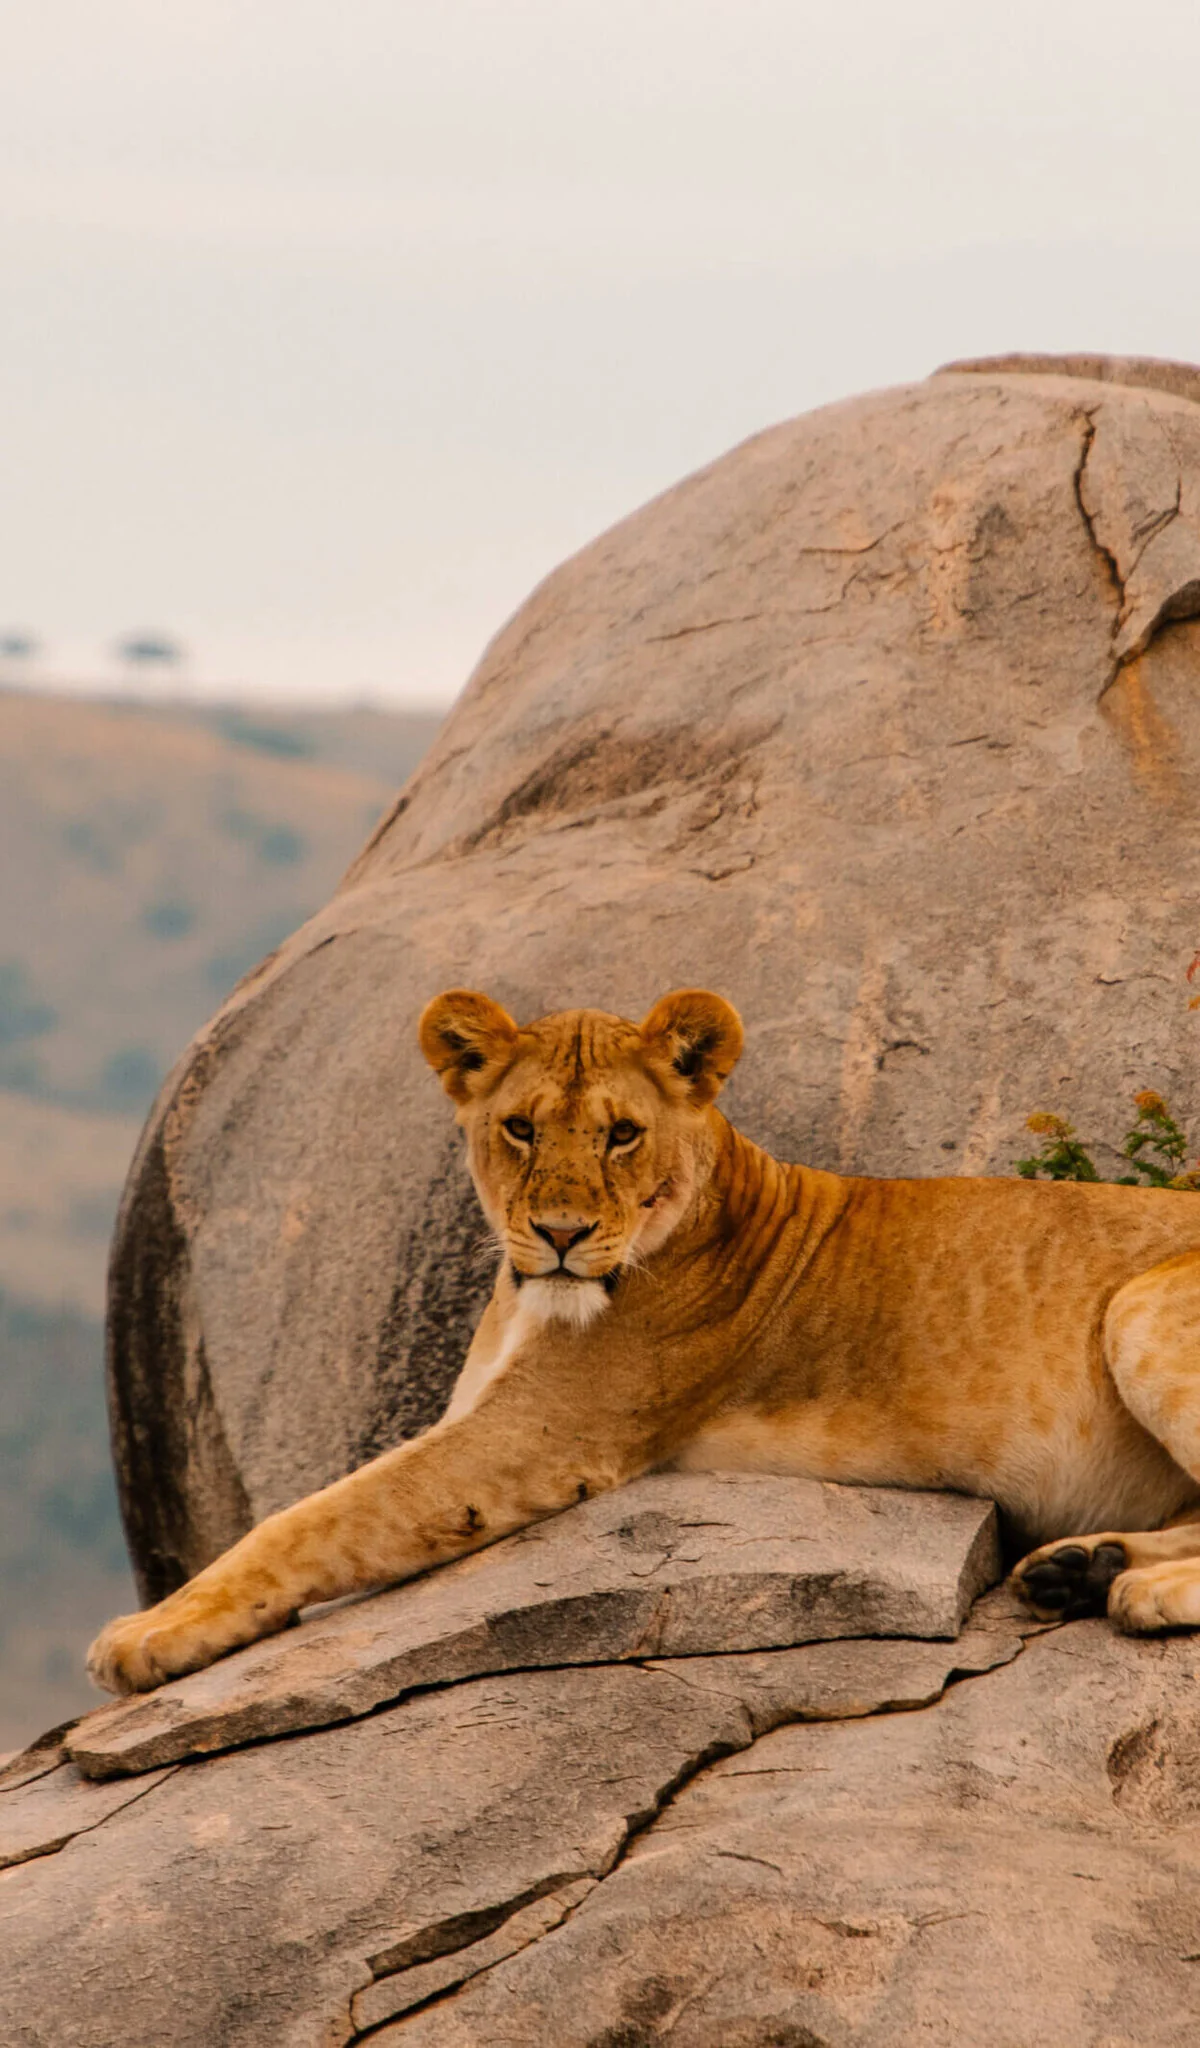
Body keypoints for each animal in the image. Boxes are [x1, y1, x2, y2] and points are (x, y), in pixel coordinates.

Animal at [88, 987, 1200, 1696]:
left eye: (622, 1134)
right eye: (522, 1128)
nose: (560, 1232)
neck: (527, 1297)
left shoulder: (538, 1437)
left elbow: (314, 1517)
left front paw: (150, 1633)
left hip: (1141, 1306)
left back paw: (1138, 1587)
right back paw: (1082, 1566)